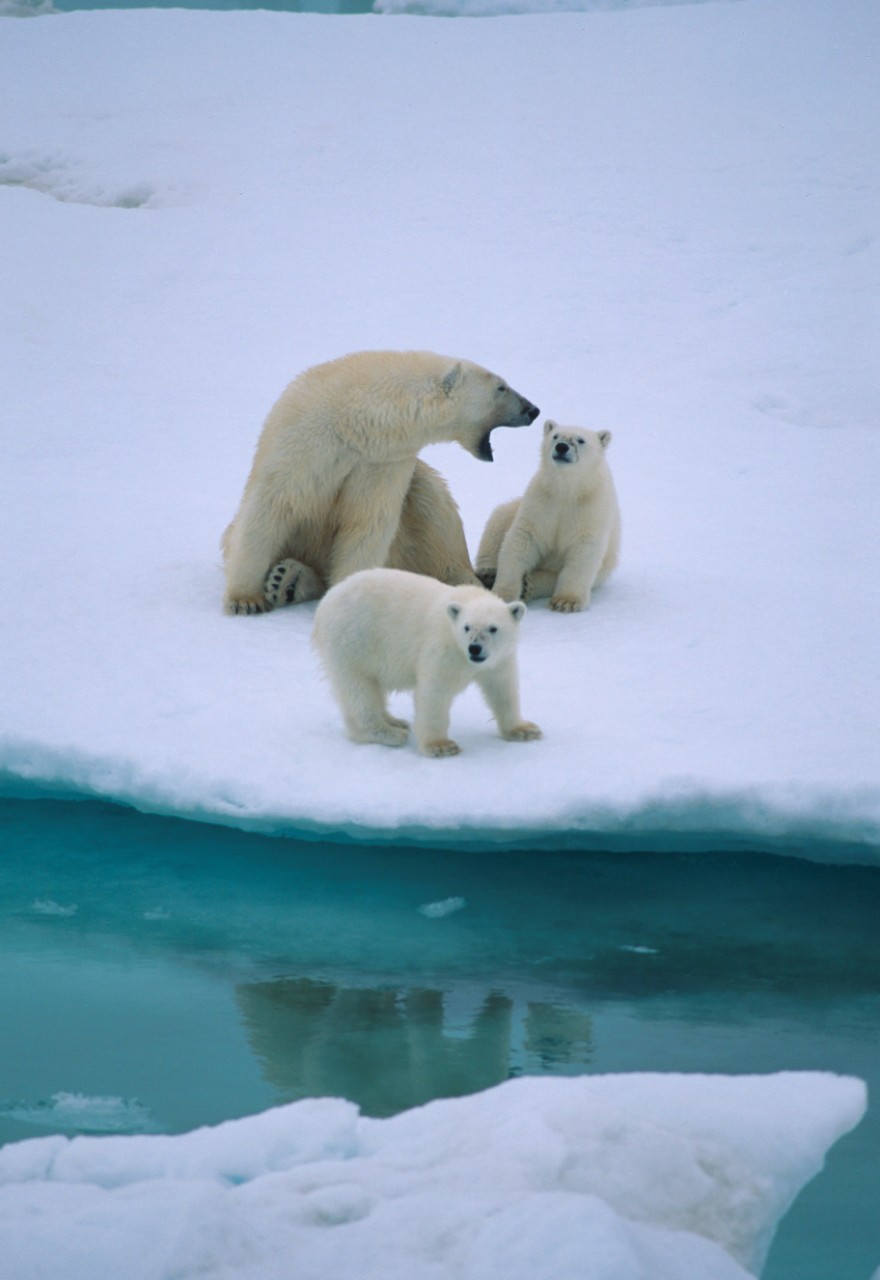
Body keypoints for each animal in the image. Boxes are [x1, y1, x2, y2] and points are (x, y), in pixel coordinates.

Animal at [222, 350, 540, 615]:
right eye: (501, 387)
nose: (533, 409)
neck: (355, 422)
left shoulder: (382, 462)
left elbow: (367, 524)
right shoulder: (306, 441)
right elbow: (274, 505)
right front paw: (245, 600)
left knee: (433, 507)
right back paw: (284, 579)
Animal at [311, 567, 542, 757]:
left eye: (493, 628)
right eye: (467, 627)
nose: (474, 648)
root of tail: (325, 603)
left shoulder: (499, 659)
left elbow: (502, 689)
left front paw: (524, 730)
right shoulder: (442, 648)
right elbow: (434, 692)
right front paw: (440, 746)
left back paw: (396, 721)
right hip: (352, 640)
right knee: (358, 688)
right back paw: (388, 733)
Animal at [476, 420, 620, 613]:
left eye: (581, 440)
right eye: (555, 436)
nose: (561, 447)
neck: (567, 490)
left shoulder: (591, 507)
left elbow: (583, 551)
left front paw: (566, 602)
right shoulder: (542, 500)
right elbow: (522, 539)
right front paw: (503, 594)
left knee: (553, 577)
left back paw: (529, 585)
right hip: (512, 510)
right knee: (498, 521)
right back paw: (488, 572)